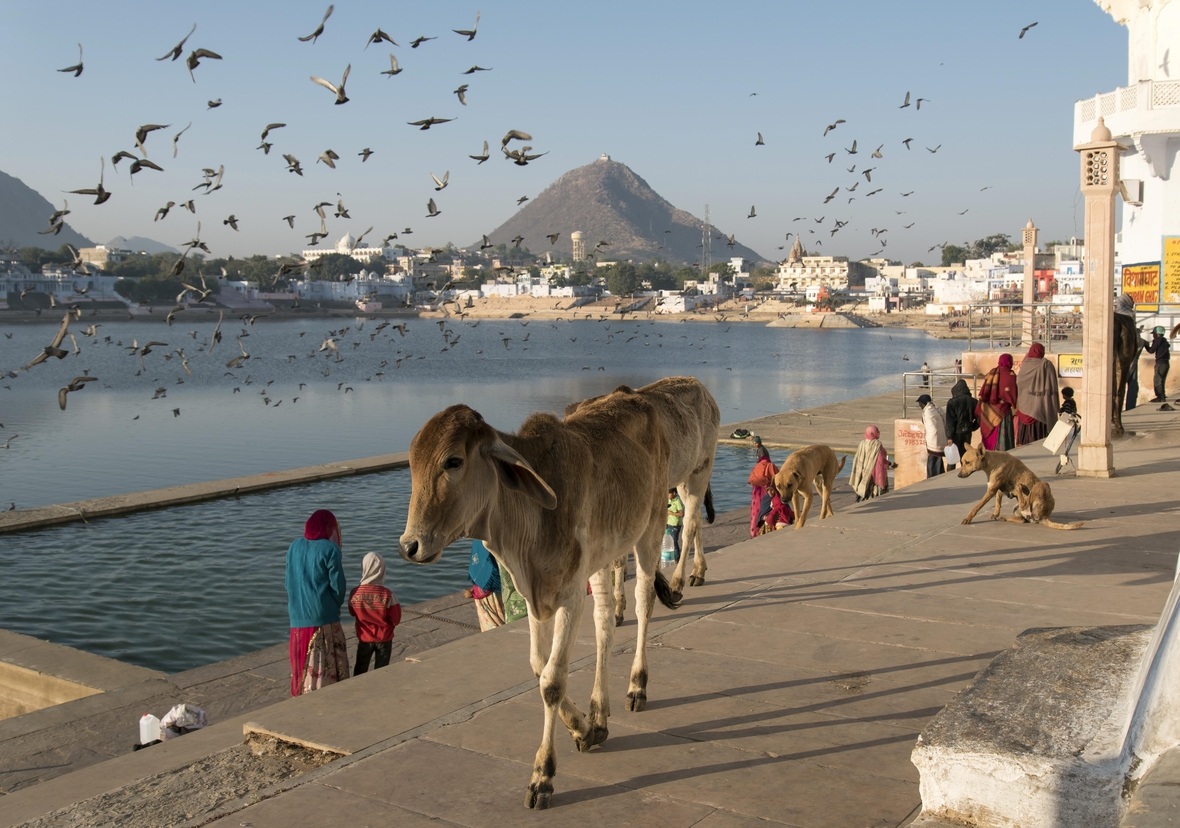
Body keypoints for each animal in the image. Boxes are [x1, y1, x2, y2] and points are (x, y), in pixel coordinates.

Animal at [398, 391, 679, 816]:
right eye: (413, 463)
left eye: (453, 461)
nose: (410, 545)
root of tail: (632, 395)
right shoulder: (537, 597)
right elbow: (537, 666)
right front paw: (583, 727)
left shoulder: (568, 596)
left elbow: (551, 680)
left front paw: (543, 775)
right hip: (601, 560)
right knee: (604, 624)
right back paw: (599, 712)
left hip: (651, 524)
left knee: (644, 603)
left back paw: (636, 687)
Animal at [564, 379, 717, 618]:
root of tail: (702, 389)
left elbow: (620, 559)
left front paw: (619, 606)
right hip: (684, 478)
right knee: (697, 519)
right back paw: (698, 571)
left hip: (702, 469)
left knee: (690, 525)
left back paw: (677, 583)